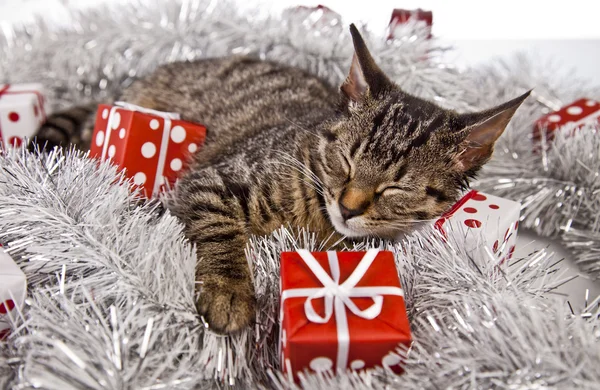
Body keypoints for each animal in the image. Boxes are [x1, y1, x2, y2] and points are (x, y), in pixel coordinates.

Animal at [32, 24, 528, 334]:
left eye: (396, 188)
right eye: (345, 160)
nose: (348, 206)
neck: (318, 215)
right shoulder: (211, 180)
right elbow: (221, 229)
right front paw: (228, 290)